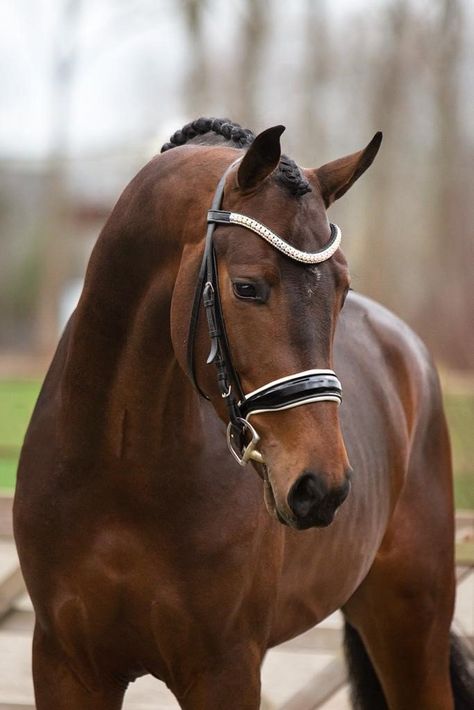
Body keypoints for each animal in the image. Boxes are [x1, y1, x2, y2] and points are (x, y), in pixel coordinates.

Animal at [12, 119, 472, 708]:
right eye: (247, 287)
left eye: (343, 288)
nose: (322, 487)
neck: (120, 468)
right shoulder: (66, 667)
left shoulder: (225, 669)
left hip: (412, 621)